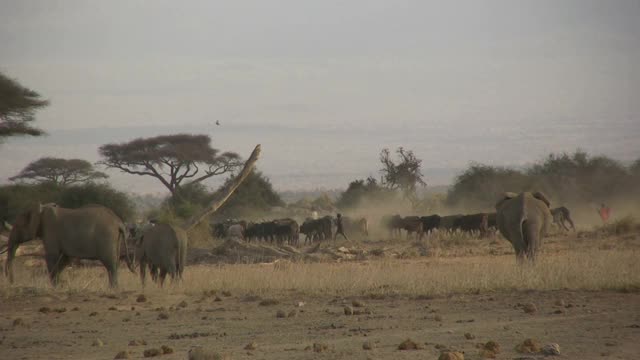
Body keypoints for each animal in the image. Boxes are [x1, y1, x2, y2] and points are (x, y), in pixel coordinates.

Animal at [3, 202, 134, 286]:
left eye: (18, 226)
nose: (12, 282)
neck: (41, 210)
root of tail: (119, 222)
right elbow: (64, 259)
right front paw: (58, 285)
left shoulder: (50, 231)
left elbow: (51, 257)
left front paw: (54, 287)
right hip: (116, 239)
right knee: (114, 263)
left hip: (106, 237)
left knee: (110, 264)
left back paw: (113, 289)